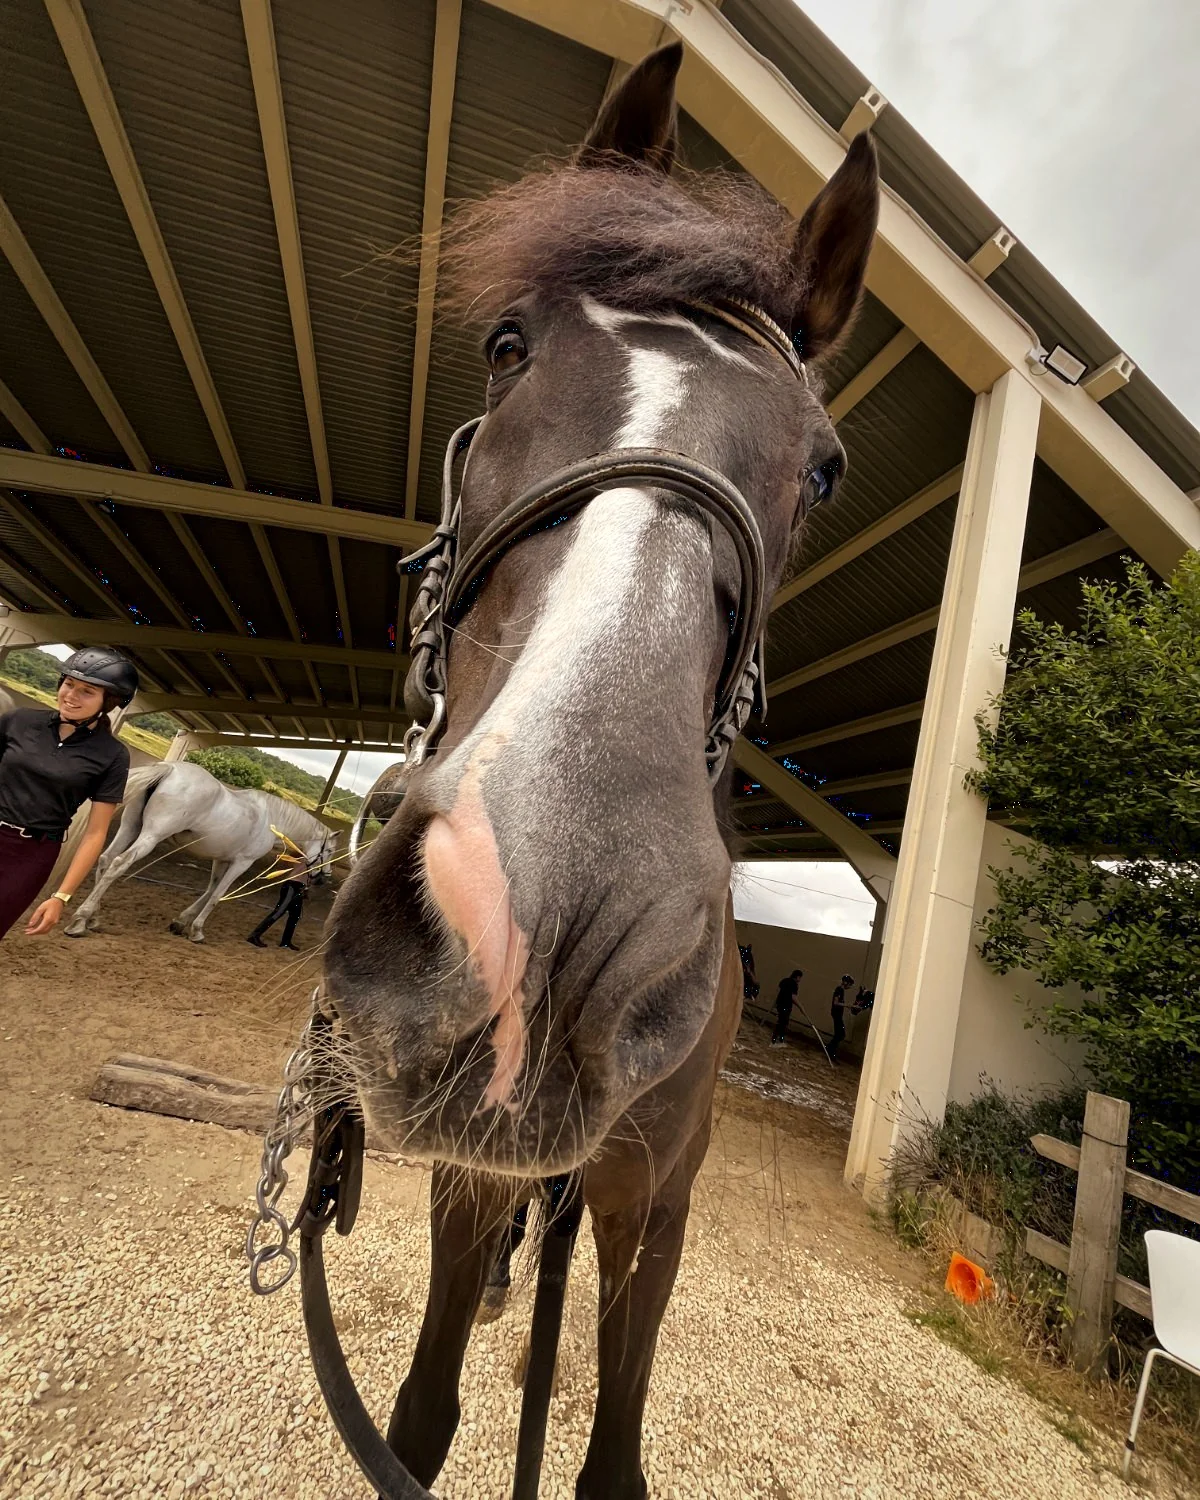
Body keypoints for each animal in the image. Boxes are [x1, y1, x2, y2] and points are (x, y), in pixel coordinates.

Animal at [64, 760, 336, 942]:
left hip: (131, 827)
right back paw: (79, 920)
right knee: (119, 863)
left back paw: (93, 918)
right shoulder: (241, 862)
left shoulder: (221, 860)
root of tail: (170, 769)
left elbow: (209, 890)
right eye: (331, 851)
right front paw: (197, 931)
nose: (323, 878)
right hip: (151, 835)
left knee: (105, 859)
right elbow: (217, 895)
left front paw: (181, 923)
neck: (271, 819)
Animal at [318, 44, 879, 1497]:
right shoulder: (468, 1179)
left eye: (825, 470)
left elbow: (612, 1449)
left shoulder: (658, 1201)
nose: (562, 927)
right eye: (508, 346)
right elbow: (420, 1419)